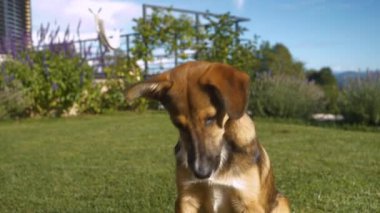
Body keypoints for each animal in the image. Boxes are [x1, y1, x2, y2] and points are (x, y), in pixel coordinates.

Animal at [126, 60, 290, 212]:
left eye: (210, 118)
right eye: (178, 125)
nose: (201, 173)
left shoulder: (248, 202)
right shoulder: (186, 198)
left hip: (282, 201)